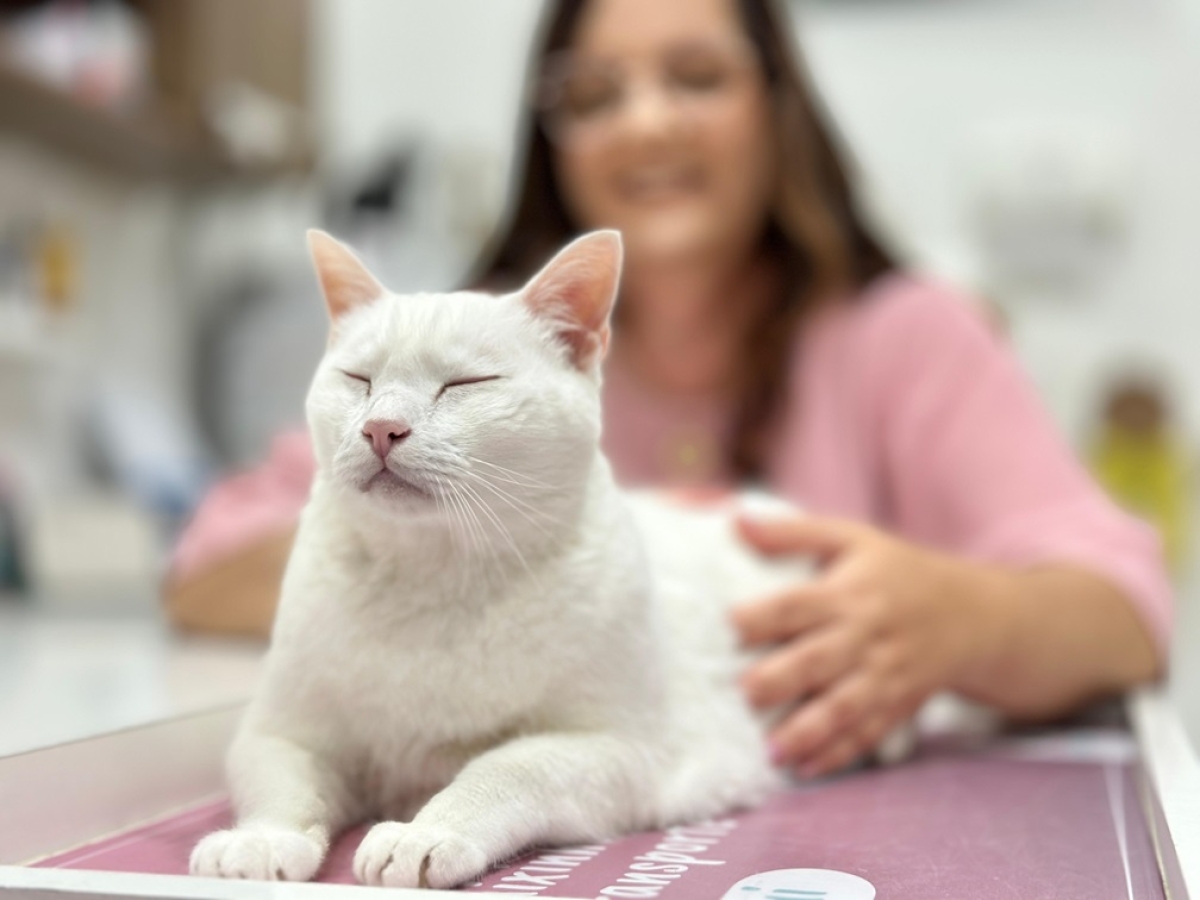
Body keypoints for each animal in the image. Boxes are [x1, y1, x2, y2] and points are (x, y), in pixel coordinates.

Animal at [189, 229, 825, 892]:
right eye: (358, 378)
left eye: (466, 383)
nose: (381, 428)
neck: (434, 583)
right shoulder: (279, 733)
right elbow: (282, 789)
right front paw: (261, 841)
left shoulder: (623, 749)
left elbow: (505, 767)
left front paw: (425, 832)